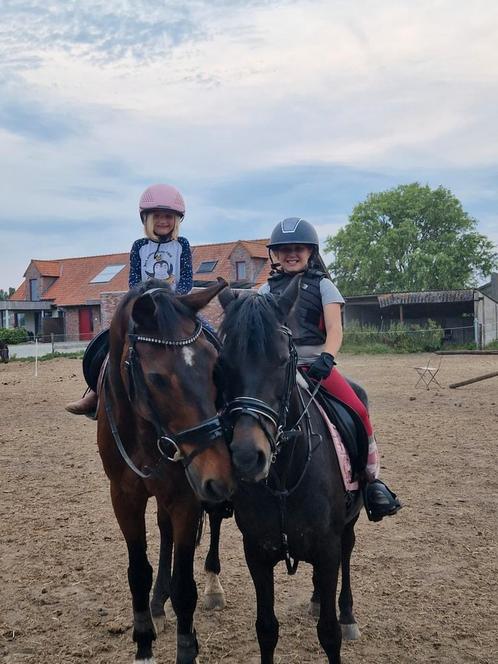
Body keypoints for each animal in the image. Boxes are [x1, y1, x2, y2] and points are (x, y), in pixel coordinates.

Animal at [98, 278, 235, 664]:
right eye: (157, 378)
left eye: (214, 366)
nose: (220, 475)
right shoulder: (124, 498)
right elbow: (138, 573)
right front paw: (144, 644)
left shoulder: (187, 498)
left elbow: (185, 586)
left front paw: (188, 648)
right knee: (164, 532)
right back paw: (159, 600)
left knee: (212, 522)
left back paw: (212, 584)